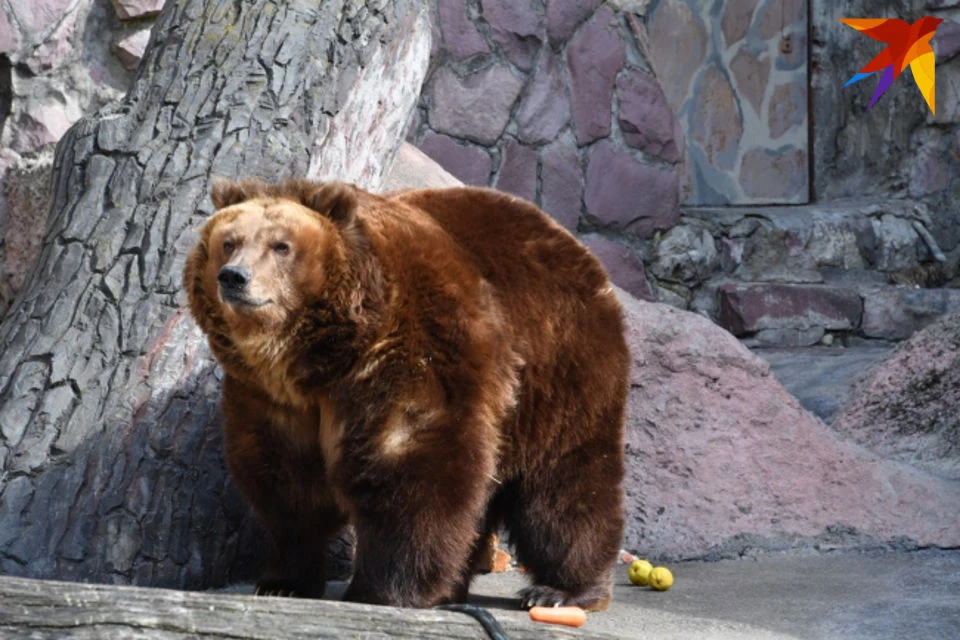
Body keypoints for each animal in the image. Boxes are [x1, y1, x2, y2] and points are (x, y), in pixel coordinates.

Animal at [185, 179, 632, 608]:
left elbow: (410, 466)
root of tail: (572, 245)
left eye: (281, 246)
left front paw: (385, 591)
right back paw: (457, 587)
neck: (319, 357)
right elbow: (286, 483)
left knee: (562, 482)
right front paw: (283, 582)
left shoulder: (409, 352)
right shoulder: (272, 398)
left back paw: (562, 590)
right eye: (230, 242)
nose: (234, 276)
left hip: (559, 365)